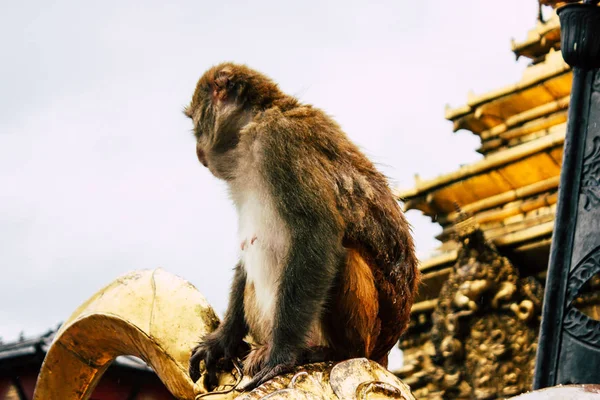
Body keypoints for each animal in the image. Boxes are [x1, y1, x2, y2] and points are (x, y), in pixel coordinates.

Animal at [185, 62, 420, 390]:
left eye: (195, 121)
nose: (197, 149)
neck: (254, 124)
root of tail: (382, 352)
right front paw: (222, 340)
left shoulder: (281, 140)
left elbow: (318, 235)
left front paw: (282, 356)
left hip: (365, 338)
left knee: (342, 254)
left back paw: (327, 351)